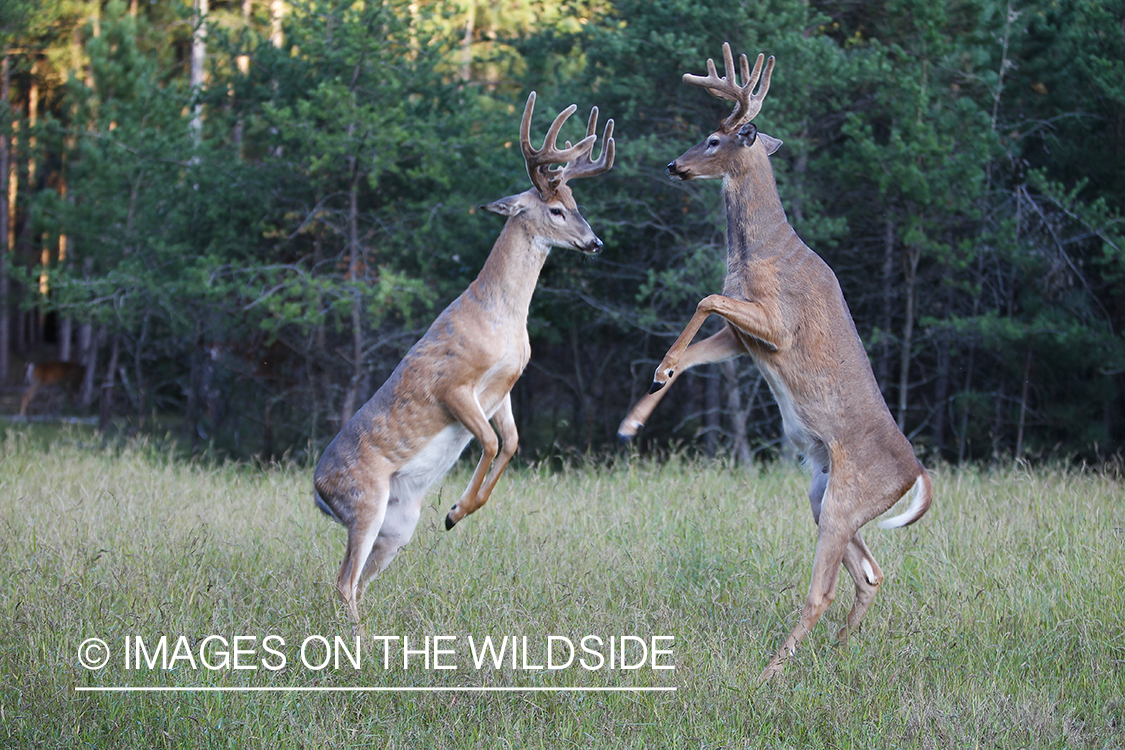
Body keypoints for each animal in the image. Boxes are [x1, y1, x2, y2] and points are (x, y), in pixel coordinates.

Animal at [315, 91, 616, 625]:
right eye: (557, 209)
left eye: (578, 204)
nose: (595, 242)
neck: (500, 317)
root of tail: (316, 491)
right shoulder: (454, 386)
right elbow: (493, 444)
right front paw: (455, 513)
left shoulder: (506, 387)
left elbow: (511, 444)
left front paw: (459, 512)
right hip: (363, 501)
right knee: (344, 581)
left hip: (398, 523)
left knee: (359, 582)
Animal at [616, 44, 931, 683]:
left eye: (716, 137)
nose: (673, 165)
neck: (757, 253)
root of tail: (915, 473)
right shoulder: (745, 338)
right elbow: (697, 351)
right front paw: (638, 411)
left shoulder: (776, 323)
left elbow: (704, 297)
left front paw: (657, 372)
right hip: (822, 492)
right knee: (871, 573)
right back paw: (836, 653)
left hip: (845, 499)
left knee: (823, 590)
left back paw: (770, 674)